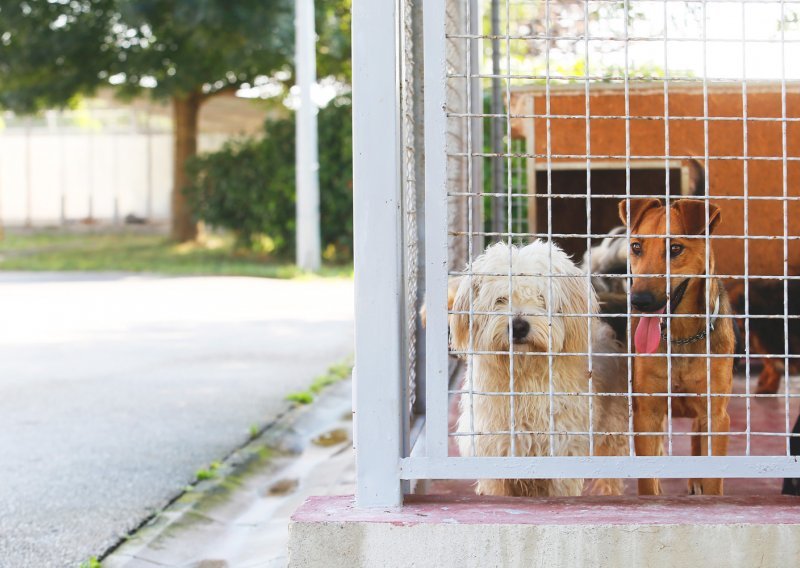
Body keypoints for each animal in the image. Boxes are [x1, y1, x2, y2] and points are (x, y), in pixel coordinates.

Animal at [446, 241, 628, 496]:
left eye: (541, 297)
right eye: (500, 299)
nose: (519, 326)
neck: (525, 377)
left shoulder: (564, 451)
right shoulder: (494, 451)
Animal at [620, 197, 736, 494]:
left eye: (675, 248)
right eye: (636, 247)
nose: (639, 301)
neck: (681, 337)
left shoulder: (716, 414)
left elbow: (714, 479)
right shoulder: (647, 413)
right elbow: (647, 481)